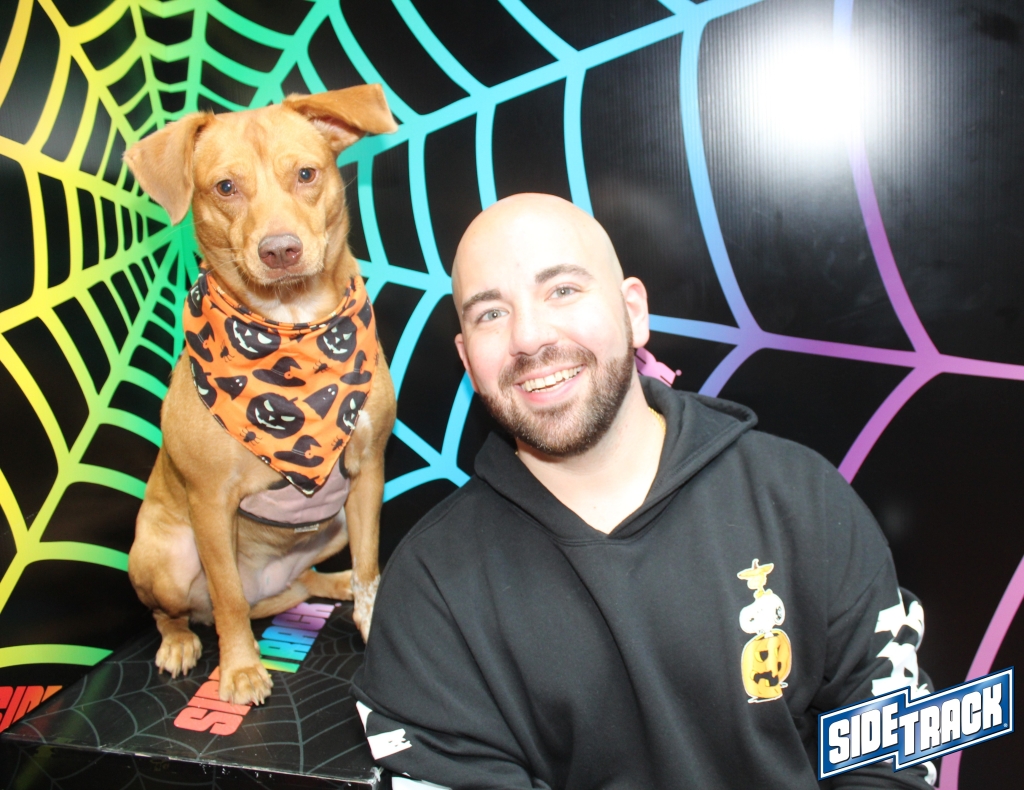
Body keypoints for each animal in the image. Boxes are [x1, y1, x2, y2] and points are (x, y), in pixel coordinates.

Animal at [124, 86, 397, 706]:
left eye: (306, 174)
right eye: (225, 187)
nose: (280, 250)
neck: (291, 326)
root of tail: (268, 588)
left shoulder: (368, 472)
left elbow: (370, 566)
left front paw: (374, 618)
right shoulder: (209, 504)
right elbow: (226, 598)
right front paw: (242, 668)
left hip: (330, 527)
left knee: (310, 579)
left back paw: (333, 583)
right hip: (161, 559)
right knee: (181, 611)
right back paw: (181, 641)